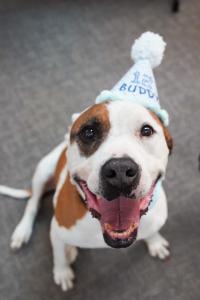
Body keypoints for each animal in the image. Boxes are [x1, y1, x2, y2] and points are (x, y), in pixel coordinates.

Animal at [0, 99, 172, 292]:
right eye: (88, 132)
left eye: (146, 130)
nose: (120, 170)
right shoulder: (56, 230)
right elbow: (58, 255)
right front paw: (62, 272)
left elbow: (152, 230)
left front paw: (155, 241)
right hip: (42, 170)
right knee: (33, 203)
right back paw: (23, 232)